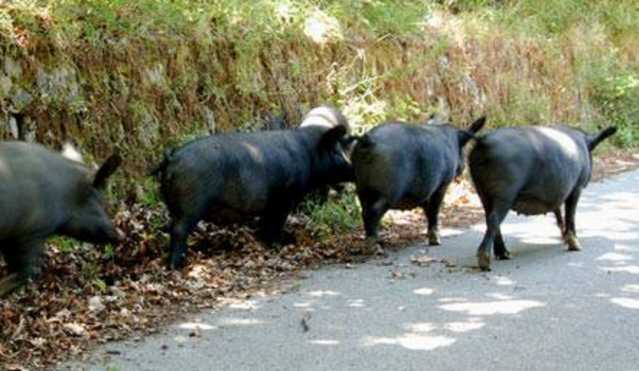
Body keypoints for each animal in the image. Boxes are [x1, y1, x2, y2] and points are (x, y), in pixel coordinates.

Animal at [155, 122, 356, 270]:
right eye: (336, 151)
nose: (352, 168)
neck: (309, 155)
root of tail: (172, 158)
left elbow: (266, 224)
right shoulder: (284, 199)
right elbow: (275, 223)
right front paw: (278, 246)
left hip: (174, 206)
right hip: (191, 205)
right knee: (179, 230)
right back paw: (176, 266)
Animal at [350, 116, 484, 250]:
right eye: (462, 149)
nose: (463, 167)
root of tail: (368, 141)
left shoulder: (425, 190)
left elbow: (427, 209)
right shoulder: (442, 184)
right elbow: (434, 209)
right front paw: (436, 242)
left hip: (361, 187)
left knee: (364, 211)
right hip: (388, 190)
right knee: (372, 212)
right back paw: (375, 248)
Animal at [472, 125, 616, 270]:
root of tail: (484, 141)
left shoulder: (556, 194)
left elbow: (558, 213)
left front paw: (563, 238)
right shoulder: (577, 187)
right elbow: (570, 214)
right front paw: (576, 246)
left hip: (482, 191)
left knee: (489, 218)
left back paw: (505, 255)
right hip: (505, 192)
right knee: (494, 219)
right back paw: (485, 263)